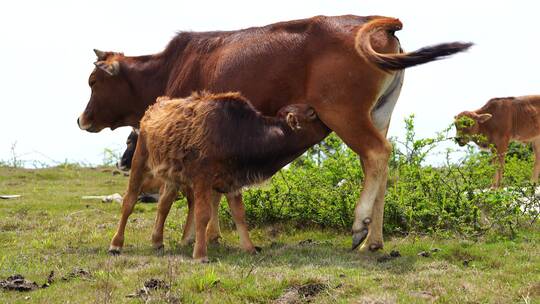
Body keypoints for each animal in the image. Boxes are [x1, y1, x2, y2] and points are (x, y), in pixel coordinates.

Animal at [110, 91, 330, 262]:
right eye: (312, 114)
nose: (328, 122)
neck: (238, 134)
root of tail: (156, 106)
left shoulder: (233, 182)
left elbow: (239, 215)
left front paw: (250, 248)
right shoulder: (202, 180)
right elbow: (202, 214)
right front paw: (200, 254)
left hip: (172, 177)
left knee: (164, 205)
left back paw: (157, 241)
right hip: (140, 163)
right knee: (129, 202)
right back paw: (116, 244)